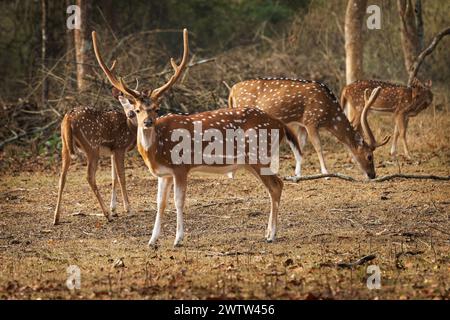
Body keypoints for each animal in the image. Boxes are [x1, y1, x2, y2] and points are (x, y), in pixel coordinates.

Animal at [92, 29, 300, 245]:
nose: (147, 122)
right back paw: (268, 233)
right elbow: (160, 203)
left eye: (156, 108)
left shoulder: (181, 167)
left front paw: (178, 239)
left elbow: (178, 201)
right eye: (136, 110)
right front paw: (152, 241)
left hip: (259, 155)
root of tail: (280, 125)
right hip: (251, 161)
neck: (156, 150)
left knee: (277, 185)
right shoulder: (164, 174)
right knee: (275, 186)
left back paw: (271, 235)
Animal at [230, 78, 388, 180]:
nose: (373, 175)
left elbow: (300, 147)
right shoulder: (311, 121)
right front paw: (325, 173)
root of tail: (232, 90)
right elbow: (318, 146)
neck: (329, 115)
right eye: (369, 156)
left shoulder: (302, 123)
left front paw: (297, 174)